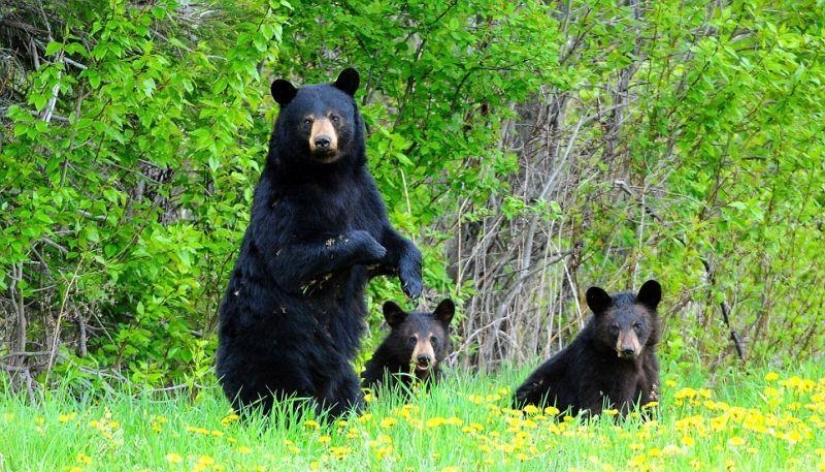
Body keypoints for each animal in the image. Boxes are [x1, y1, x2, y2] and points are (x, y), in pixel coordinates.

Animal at [216, 68, 422, 418]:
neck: (329, 176)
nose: (323, 142)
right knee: (273, 390)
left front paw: (412, 279)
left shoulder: (364, 195)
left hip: (335, 364)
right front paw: (371, 247)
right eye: (307, 120)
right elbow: (291, 257)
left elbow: (389, 236)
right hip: (275, 342)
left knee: (344, 388)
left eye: (335, 117)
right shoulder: (284, 202)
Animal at [512, 280, 660, 416]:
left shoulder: (648, 371)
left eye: (637, 325)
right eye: (614, 327)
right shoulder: (598, 372)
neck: (634, 361)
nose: (627, 349)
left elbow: (648, 401)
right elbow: (606, 404)